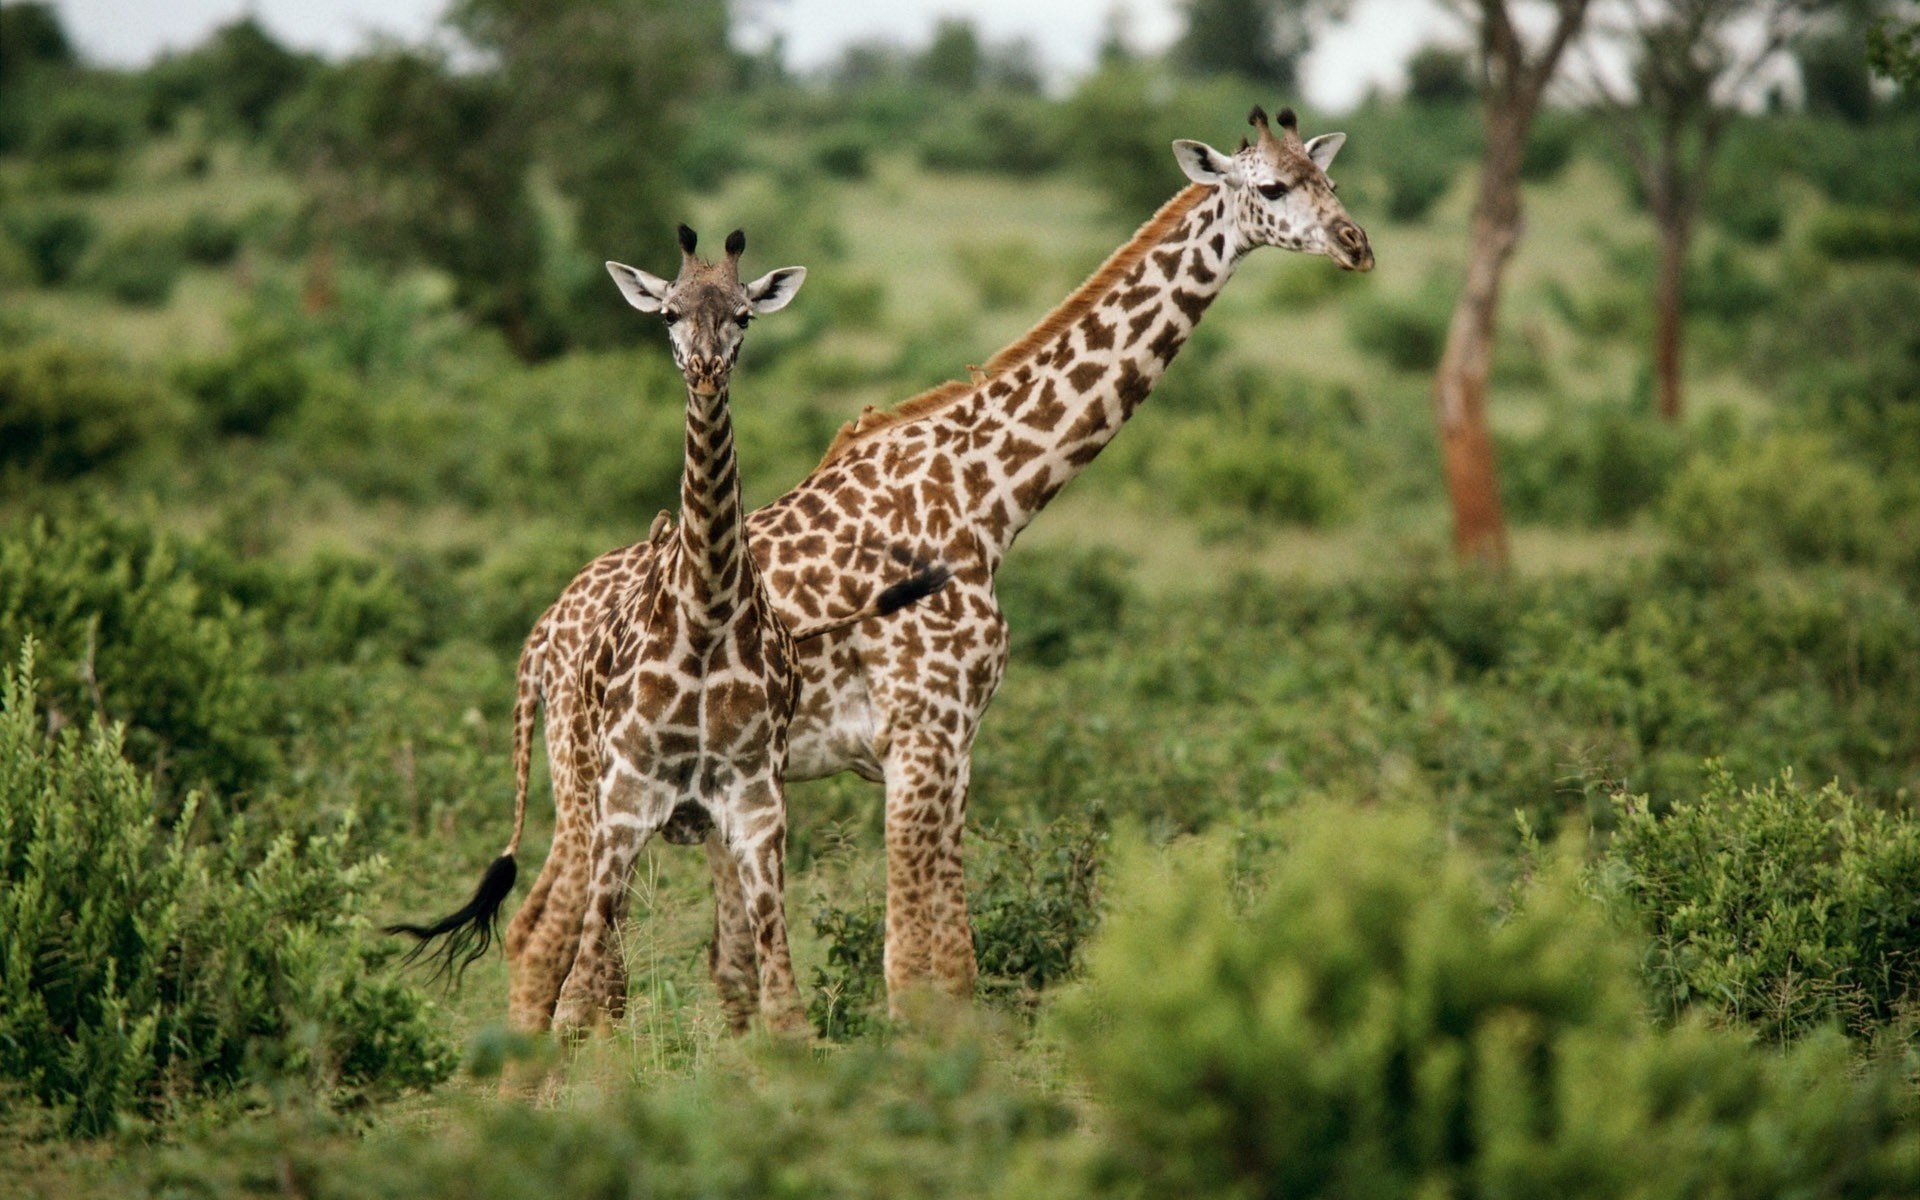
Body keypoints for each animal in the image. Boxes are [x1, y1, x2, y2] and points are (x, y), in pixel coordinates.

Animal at [390, 225, 948, 1035]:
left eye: (744, 315)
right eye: (668, 313)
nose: (707, 371)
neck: (708, 614)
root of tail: (541, 634)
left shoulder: (756, 809)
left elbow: (784, 1004)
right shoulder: (627, 805)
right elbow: (578, 1000)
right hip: (589, 803)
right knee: (577, 968)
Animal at [497, 104, 1372, 1029]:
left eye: (1329, 180)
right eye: (1271, 188)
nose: (1355, 244)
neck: (989, 498)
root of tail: (544, 633)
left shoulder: (954, 742)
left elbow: (942, 959)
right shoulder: (925, 730)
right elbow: (924, 969)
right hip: (593, 776)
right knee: (542, 935)